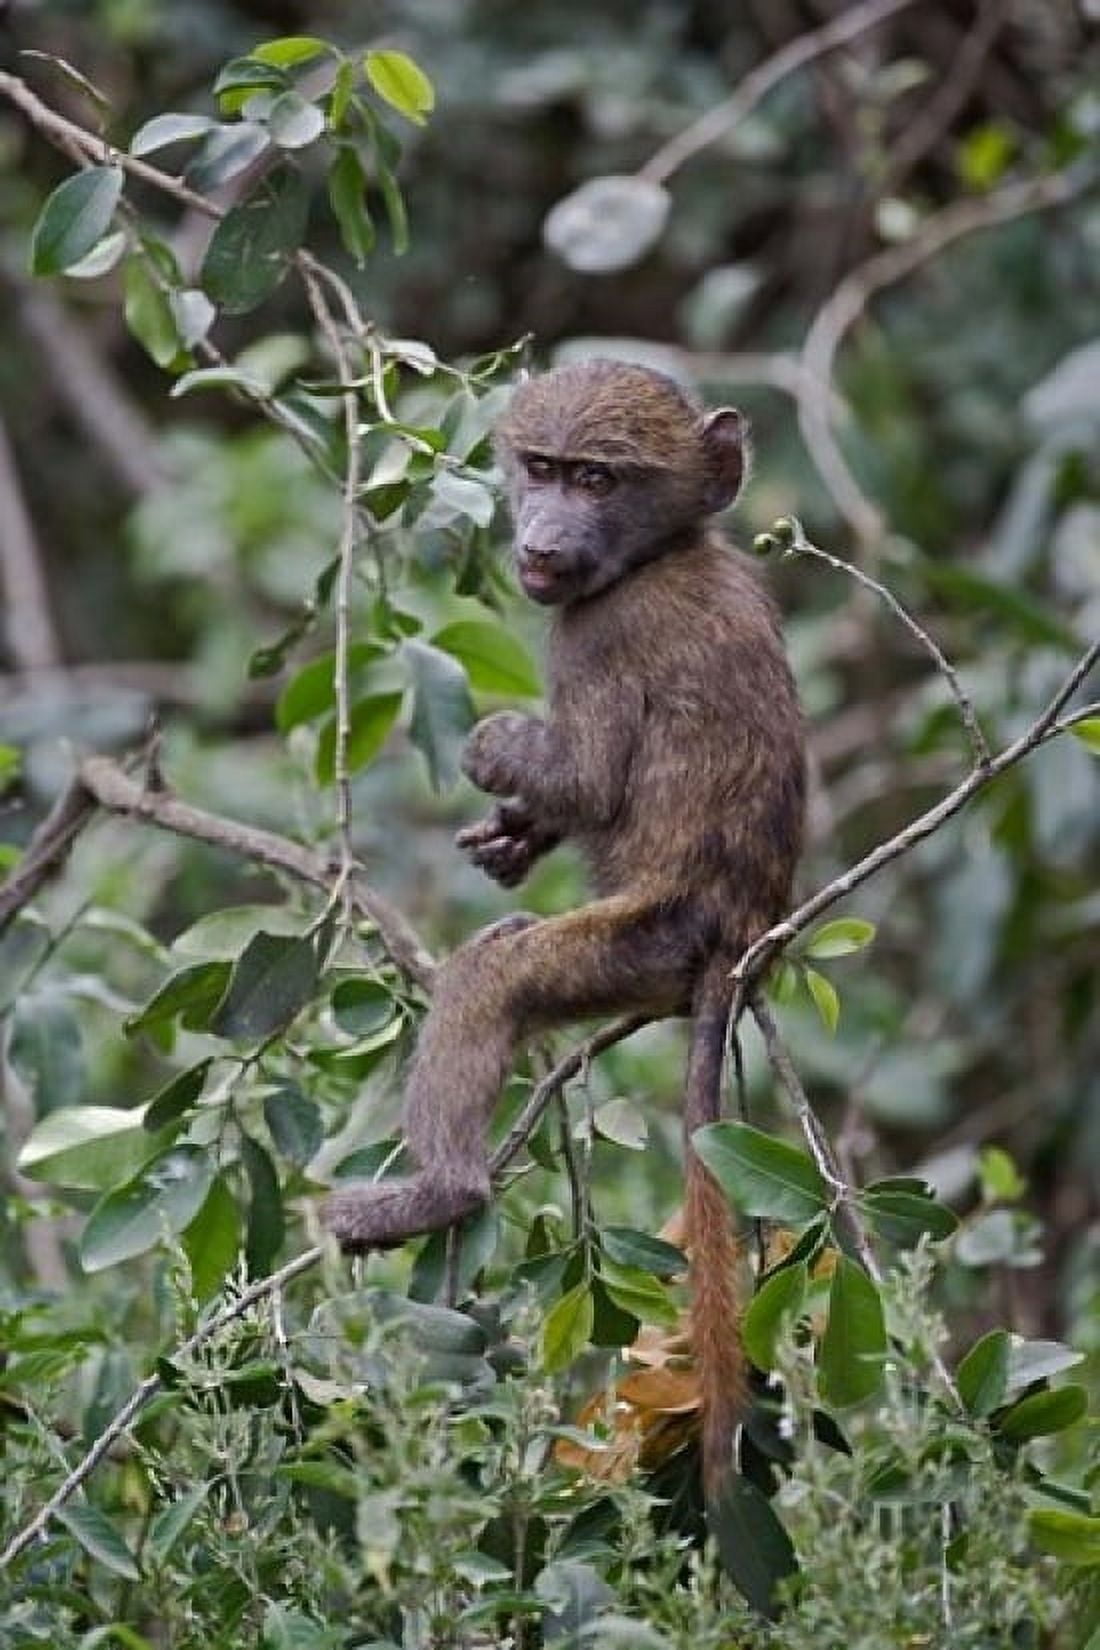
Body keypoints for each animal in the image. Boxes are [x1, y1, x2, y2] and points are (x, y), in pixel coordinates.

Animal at [324, 358, 805, 1500]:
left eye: (597, 478)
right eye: (539, 469)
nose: (541, 540)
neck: (667, 551)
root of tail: (738, 936)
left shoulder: (601, 634)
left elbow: (587, 776)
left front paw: (498, 754)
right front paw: (516, 834)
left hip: (641, 942)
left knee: (492, 980)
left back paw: (437, 1194)